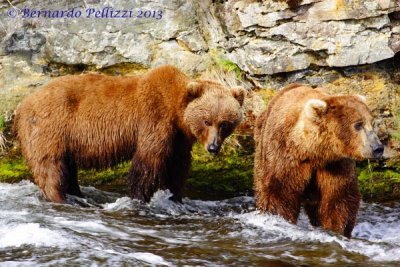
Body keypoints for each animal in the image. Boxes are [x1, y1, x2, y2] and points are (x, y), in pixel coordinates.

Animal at [14, 66, 247, 204]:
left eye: (225, 123)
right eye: (207, 120)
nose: (213, 147)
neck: (176, 112)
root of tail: (23, 104)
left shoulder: (179, 139)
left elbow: (178, 168)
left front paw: (175, 197)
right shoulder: (154, 119)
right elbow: (148, 162)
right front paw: (140, 198)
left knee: (67, 168)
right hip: (51, 127)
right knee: (50, 166)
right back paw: (58, 197)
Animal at [255, 84, 382, 239]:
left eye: (373, 123)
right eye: (358, 125)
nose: (378, 148)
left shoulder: (335, 164)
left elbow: (339, 198)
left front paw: (336, 229)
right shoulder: (284, 155)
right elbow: (279, 192)